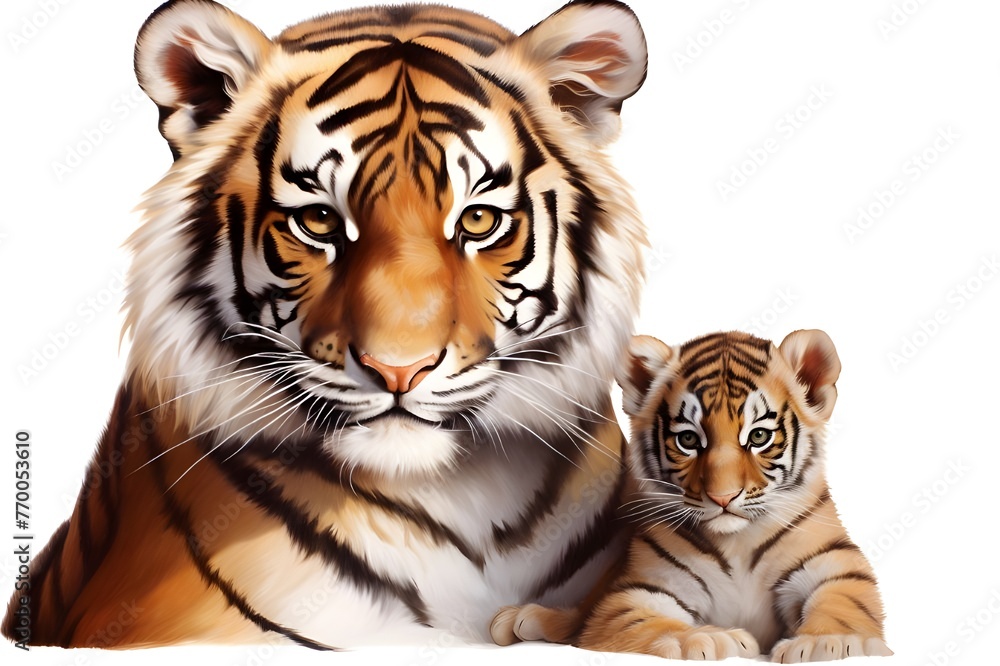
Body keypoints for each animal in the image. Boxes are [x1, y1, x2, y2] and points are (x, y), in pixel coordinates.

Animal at [491, 330, 892, 662]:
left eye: (759, 436)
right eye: (688, 440)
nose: (723, 497)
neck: (738, 542)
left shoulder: (838, 567)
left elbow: (843, 604)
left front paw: (827, 642)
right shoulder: (639, 591)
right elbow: (658, 627)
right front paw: (713, 638)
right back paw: (522, 617)